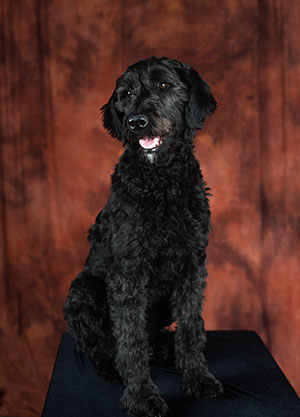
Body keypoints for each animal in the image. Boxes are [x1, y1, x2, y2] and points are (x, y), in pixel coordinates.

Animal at [63, 56, 223, 416]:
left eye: (164, 84)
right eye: (126, 94)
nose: (136, 122)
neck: (161, 182)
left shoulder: (193, 266)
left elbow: (191, 327)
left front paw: (198, 378)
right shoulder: (128, 271)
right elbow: (130, 339)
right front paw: (141, 397)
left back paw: (160, 351)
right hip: (84, 290)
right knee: (99, 346)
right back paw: (110, 366)